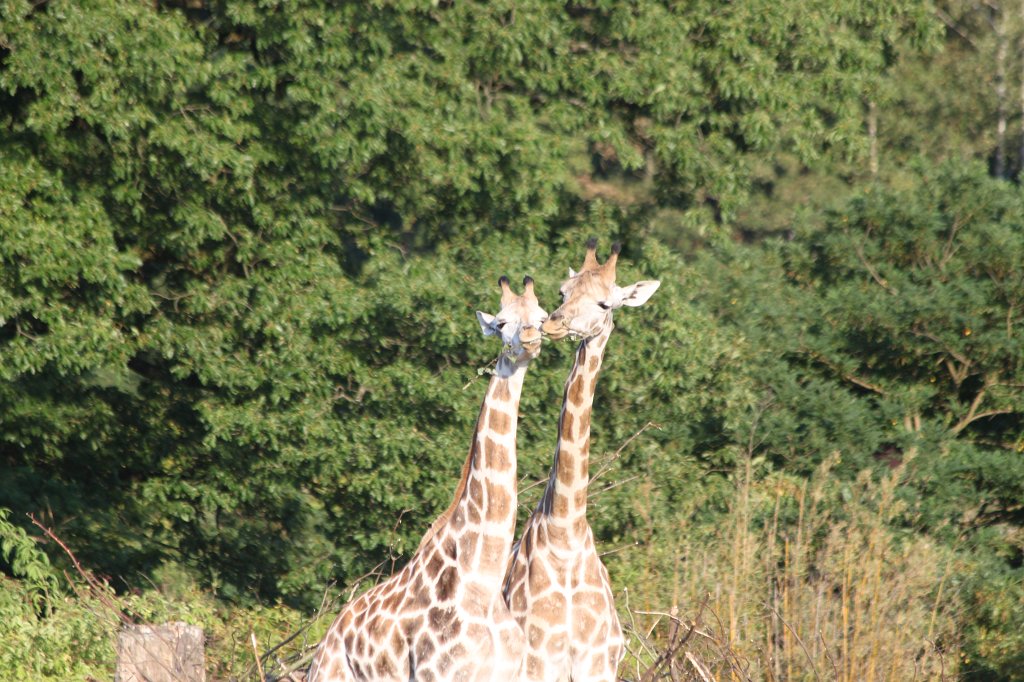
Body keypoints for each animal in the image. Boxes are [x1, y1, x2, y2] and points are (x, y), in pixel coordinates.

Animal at [308, 276, 547, 682]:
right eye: (501, 323)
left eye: (542, 316)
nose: (530, 339)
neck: (481, 580)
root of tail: (328, 638)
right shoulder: (441, 673)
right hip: (331, 674)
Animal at [503, 239, 660, 682]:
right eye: (561, 292)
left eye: (605, 303)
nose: (554, 325)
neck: (565, 534)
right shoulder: (536, 662)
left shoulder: (598, 663)